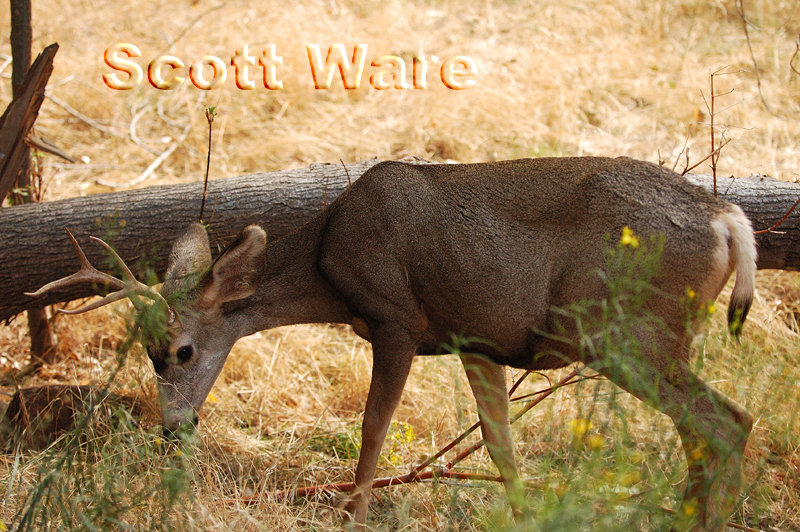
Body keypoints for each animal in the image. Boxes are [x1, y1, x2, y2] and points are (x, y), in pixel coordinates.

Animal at [27, 156, 757, 532]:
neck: (328, 265)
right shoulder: (476, 337)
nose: (173, 429)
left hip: (624, 329)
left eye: (178, 351)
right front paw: (522, 514)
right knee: (706, 428)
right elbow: (501, 443)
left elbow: (374, 426)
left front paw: (352, 510)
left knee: (726, 420)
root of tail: (729, 219)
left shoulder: (397, 319)